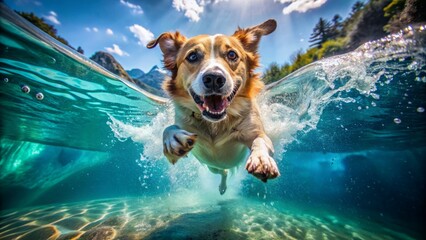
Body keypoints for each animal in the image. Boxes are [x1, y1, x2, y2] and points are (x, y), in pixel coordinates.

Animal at [146, 19, 280, 195]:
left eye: (232, 54)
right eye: (192, 56)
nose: (214, 78)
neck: (214, 123)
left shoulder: (256, 132)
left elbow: (261, 140)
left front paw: (262, 159)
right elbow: (168, 128)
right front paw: (173, 139)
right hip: (212, 167)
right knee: (222, 172)